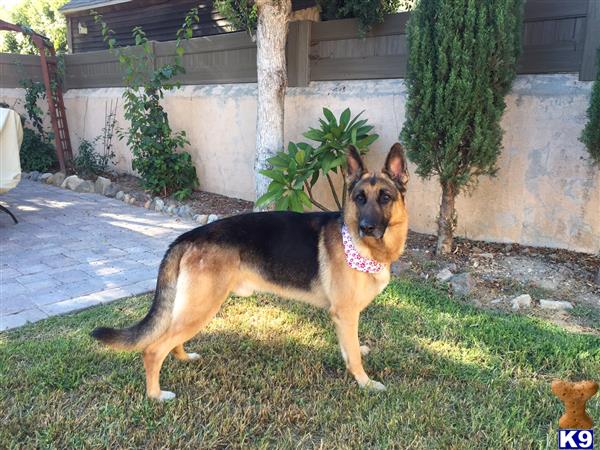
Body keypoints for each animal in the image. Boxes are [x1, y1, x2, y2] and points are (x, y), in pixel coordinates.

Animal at [91, 142, 410, 400]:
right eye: (359, 198)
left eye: (385, 197)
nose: (367, 228)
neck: (362, 248)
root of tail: (190, 235)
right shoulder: (345, 313)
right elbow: (353, 354)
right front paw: (365, 383)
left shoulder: (343, 317)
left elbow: (349, 347)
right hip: (202, 306)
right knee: (153, 349)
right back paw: (156, 395)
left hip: (193, 307)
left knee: (171, 339)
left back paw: (183, 358)